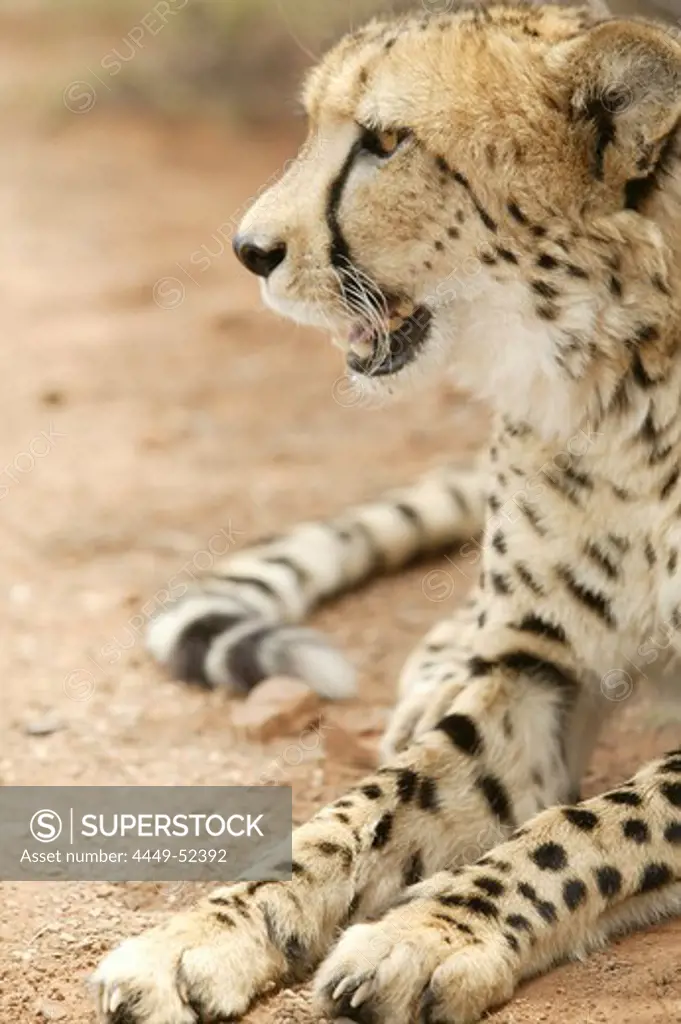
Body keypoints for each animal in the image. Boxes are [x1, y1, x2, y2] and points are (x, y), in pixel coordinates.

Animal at [93, 8, 679, 1024]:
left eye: (386, 142)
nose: (248, 250)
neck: (610, 383)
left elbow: (584, 829)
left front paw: (430, 933)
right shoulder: (535, 669)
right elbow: (368, 809)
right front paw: (202, 932)